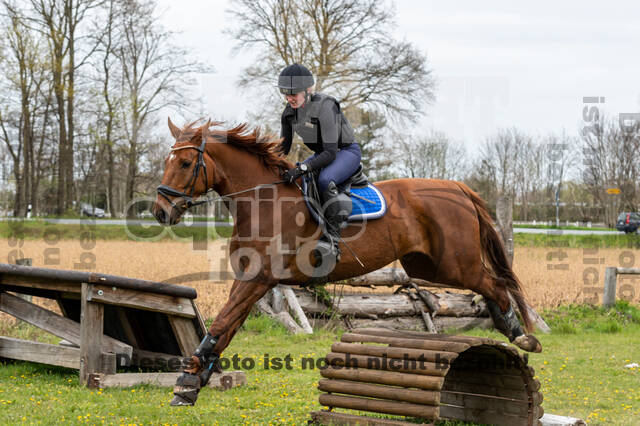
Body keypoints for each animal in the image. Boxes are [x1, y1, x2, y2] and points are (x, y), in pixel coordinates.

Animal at [152, 119, 544, 406]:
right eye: (167, 162)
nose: (160, 212)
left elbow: (221, 323)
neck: (263, 201)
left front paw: (187, 380)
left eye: (185, 163)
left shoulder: (258, 278)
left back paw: (521, 334)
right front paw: (193, 383)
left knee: (496, 283)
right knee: (490, 284)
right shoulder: (249, 279)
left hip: (454, 264)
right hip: (427, 266)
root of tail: (457, 188)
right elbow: (225, 329)